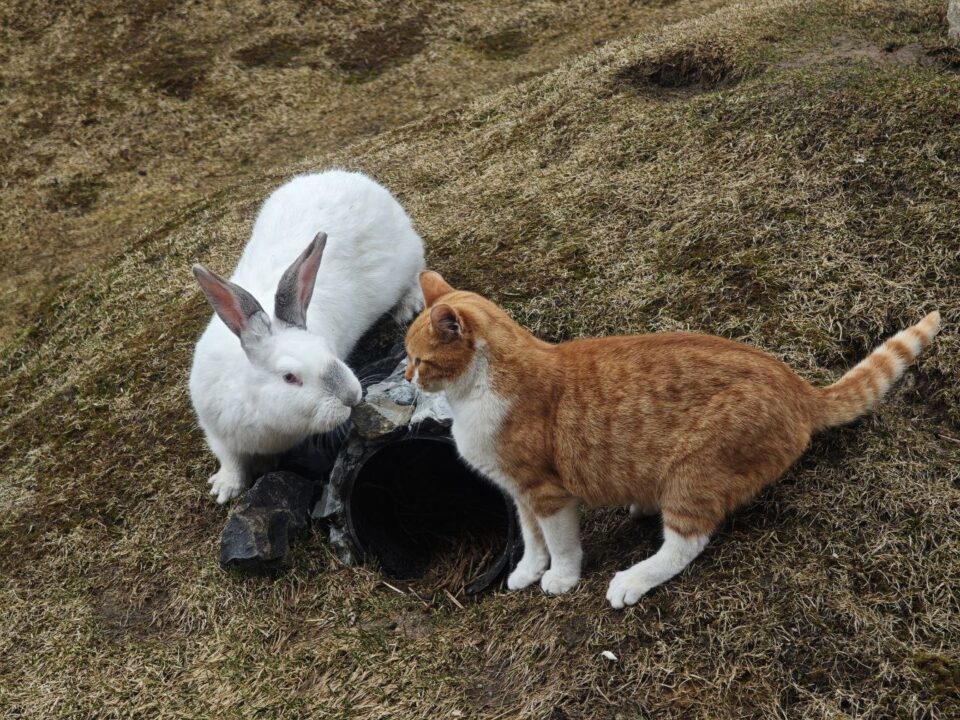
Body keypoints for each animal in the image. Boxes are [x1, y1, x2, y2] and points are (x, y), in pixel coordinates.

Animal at [189, 171, 426, 504]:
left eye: (329, 351)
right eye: (289, 377)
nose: (351, 396)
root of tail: (351, 177)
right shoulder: (216, 430)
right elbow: (231, 460)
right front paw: (225, 489)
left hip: (407, 259)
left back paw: (408, 306)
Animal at [402, 272, 940, 608]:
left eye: (420, 360)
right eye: (406, 358)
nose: (406, 377)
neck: (476, 393)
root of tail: (798, 387)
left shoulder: (546, 493)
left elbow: (561, 542)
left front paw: (560, 578)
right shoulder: (518, 493)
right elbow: (532, 540)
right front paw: (529, 571)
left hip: (693, 472)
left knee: (688, 541)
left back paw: (634, 579)